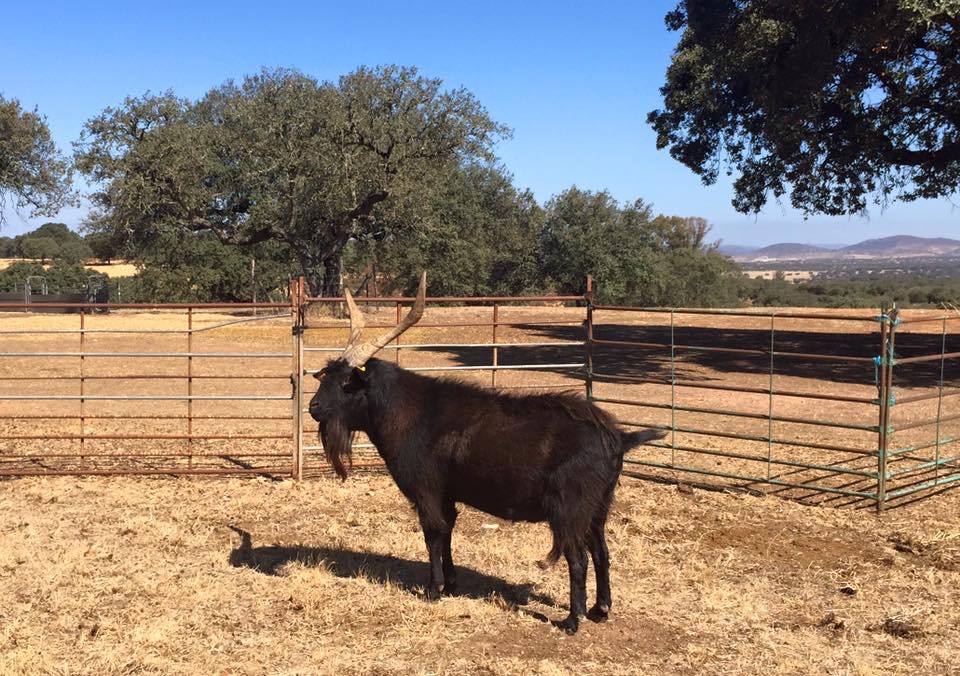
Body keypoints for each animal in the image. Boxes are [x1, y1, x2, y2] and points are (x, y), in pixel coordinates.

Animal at [310, 274, 668, 632]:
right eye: (327, 376)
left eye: (346, 383)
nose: (313, 407)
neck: (412, 412)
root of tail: (617, 437)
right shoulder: (448, 492)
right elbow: (448, 529)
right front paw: (452, 584)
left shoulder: (426, 490)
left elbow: (433, 532)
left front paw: (433, 589)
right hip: (599, 505)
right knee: (601, 551)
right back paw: (600, 609)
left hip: (571, 507)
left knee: (577, 556)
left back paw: (572, 619)